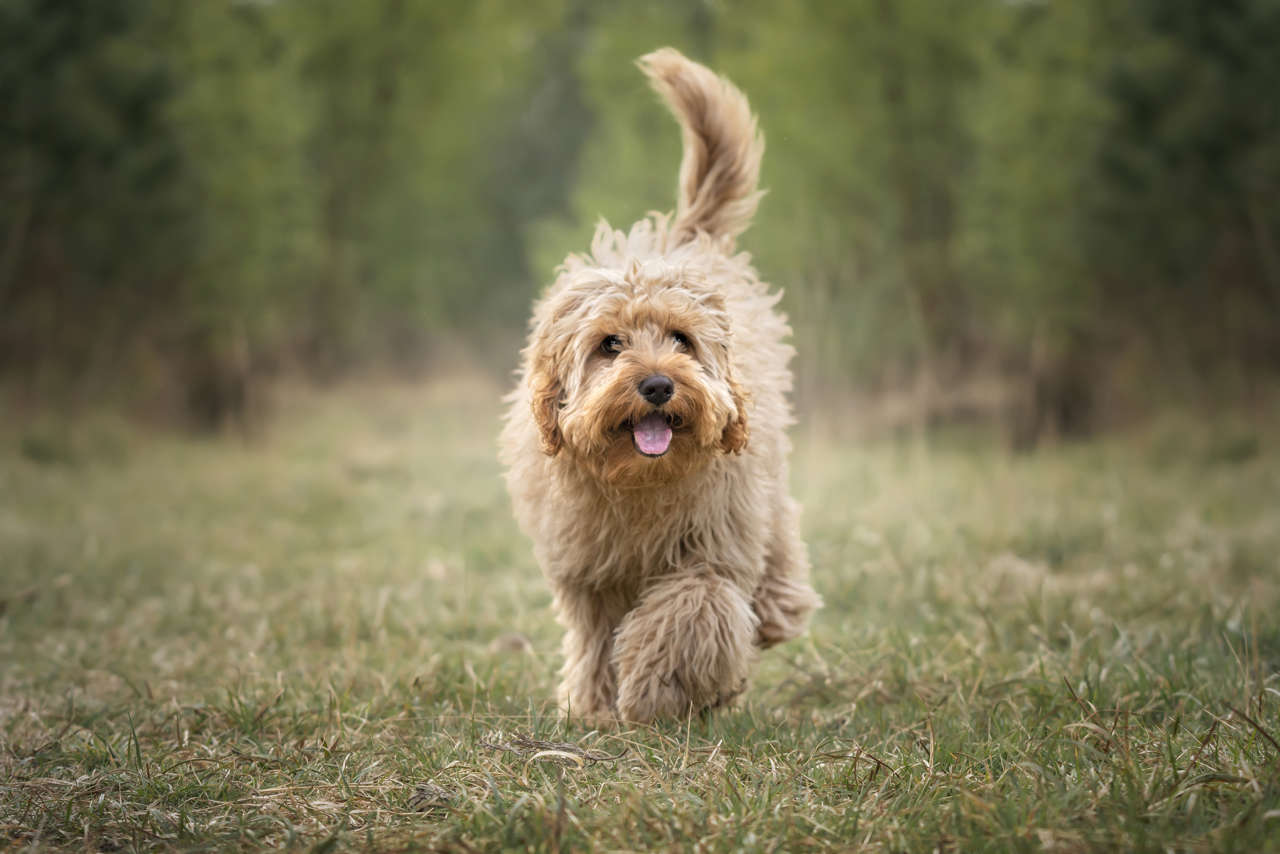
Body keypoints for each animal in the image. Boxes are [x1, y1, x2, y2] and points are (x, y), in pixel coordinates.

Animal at [499, 46, 819, 727]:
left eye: (680, 339)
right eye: (608, 344)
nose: (655, 385)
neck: (640, 485)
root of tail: (684, 237)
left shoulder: (714, 544)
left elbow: (689, 615)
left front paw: (658, 691)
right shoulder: (588, 569)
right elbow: (596, 636)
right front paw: (594, 707)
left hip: (763, 476)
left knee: (776, 541)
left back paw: (775, 609)